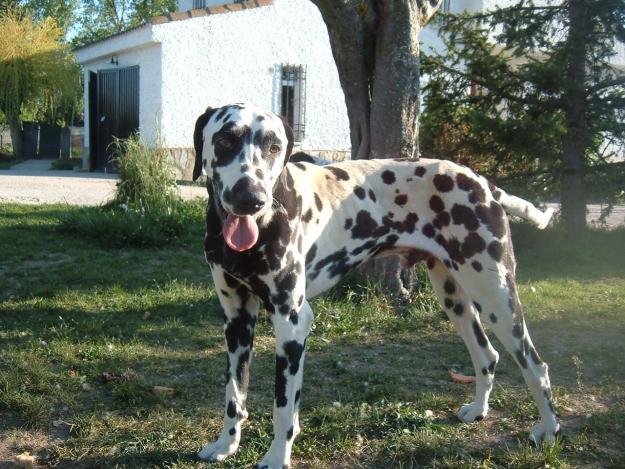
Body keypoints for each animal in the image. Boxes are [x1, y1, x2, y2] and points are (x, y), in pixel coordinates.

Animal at [193, 104, 560, 466]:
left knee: (535, 366)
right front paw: (226, 445)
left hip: (496, 296)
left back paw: (548, 429)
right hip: (455, 300)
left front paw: (276, 458)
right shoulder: (237, 321)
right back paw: (480, 410)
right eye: (225, 140)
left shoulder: (292, 323)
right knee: (487, 355)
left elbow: (283, 407)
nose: (250, 197)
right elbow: (234, 394)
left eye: (273, 146)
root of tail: (483, 183)